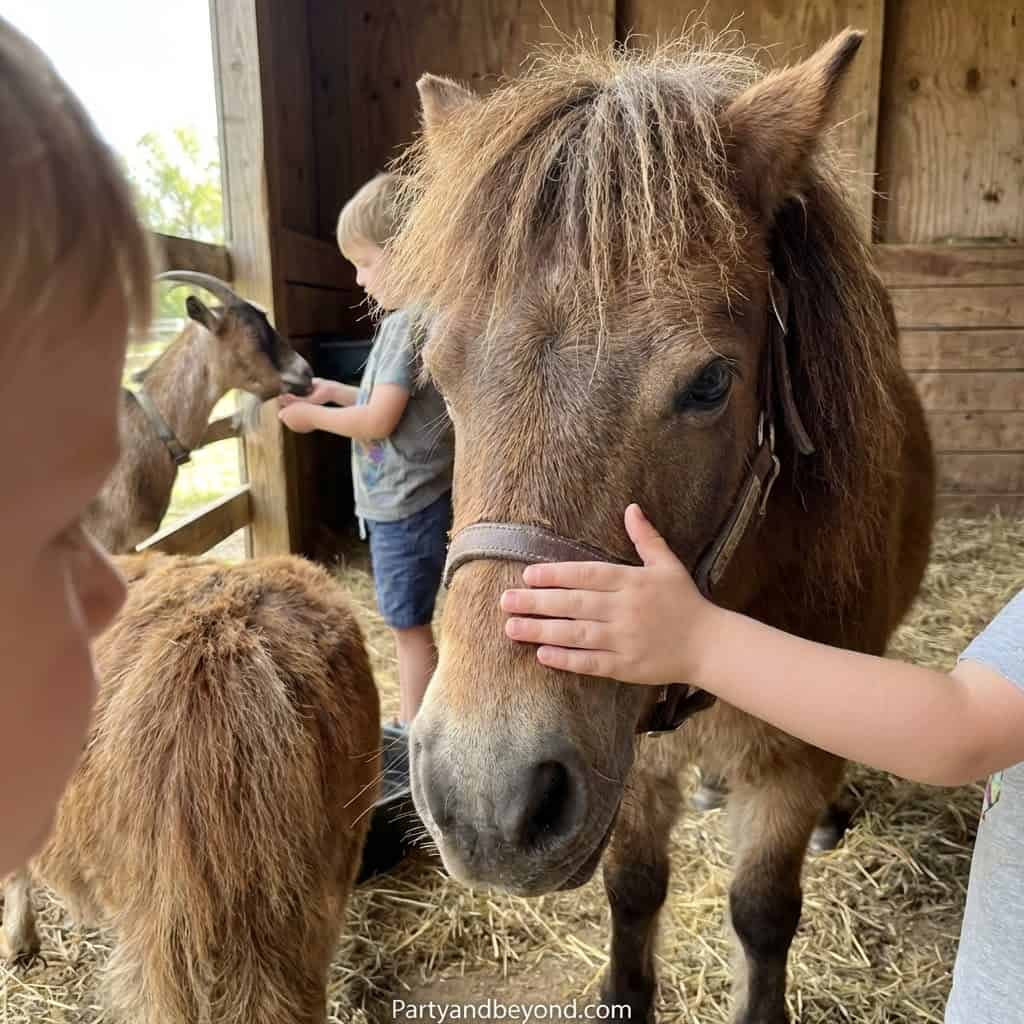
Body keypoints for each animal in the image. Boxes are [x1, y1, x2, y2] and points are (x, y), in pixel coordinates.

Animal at [388, 29, 934, 1024]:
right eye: (439, 373)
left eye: (711, 383)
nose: (487, 798)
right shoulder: (629, 763)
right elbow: (633, 893)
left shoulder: (792, 766)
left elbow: (762, 913)